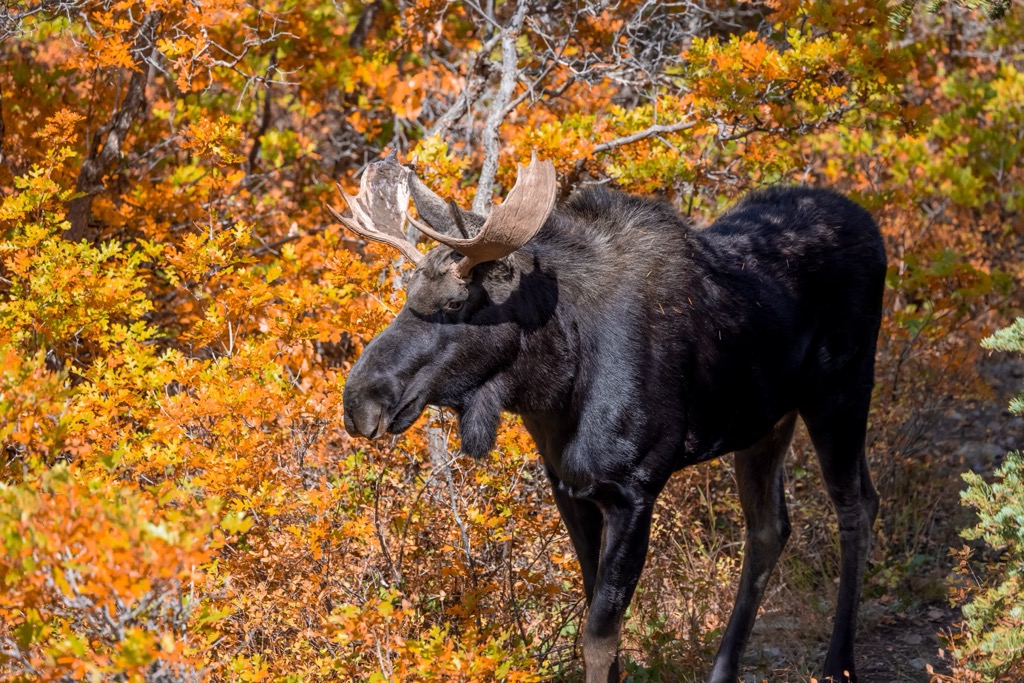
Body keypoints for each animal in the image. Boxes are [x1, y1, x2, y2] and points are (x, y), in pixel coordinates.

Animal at [332, 151, 886, 683]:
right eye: (407, 292)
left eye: (453, 303)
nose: (358, 401)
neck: (556, 385)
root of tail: (873, 229)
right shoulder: (569, 487)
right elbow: (597, 615)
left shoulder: (633, 490)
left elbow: (599, 637)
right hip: (765, 423)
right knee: (770, 527)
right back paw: (724, 671)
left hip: (842, 392)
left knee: (858, 505)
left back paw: (839, 665)